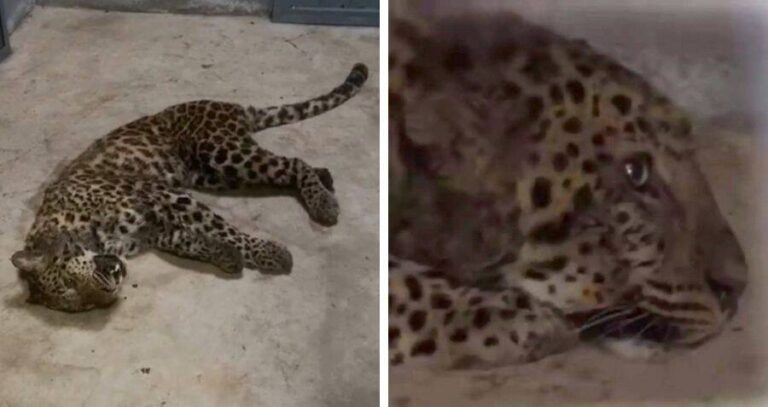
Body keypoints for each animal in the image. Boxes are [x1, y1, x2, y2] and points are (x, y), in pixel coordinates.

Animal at [10, 63, 368, 313]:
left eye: (71, 282)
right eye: (83, 303)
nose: (110, 290)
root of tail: (231, 106)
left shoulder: (164, 197)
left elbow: (223, 229)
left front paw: (268, 254)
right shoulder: (152, 229)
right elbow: (191, 241)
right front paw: (227, 257)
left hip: (223, 154)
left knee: (293, 163)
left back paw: (324, 204)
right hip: (212, 174)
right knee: (286, 168)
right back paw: (325, 179)